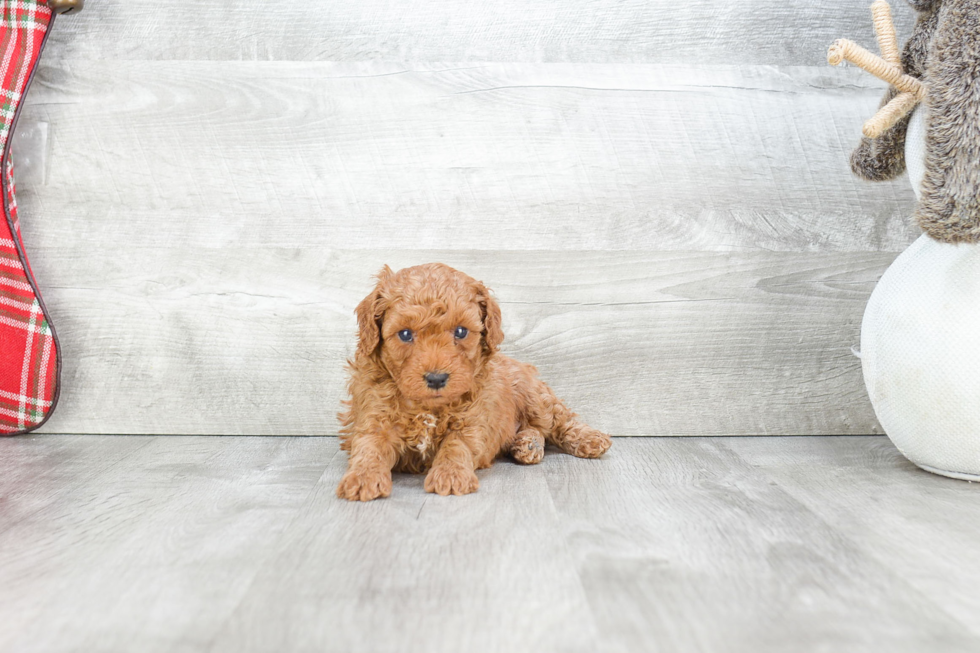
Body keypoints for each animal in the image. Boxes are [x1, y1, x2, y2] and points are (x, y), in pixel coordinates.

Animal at [338, 262, 612, 502]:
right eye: (405, 334)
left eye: (461, 331)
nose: (436, 378)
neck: (427, 407)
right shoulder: (375, 417)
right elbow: (369, 447)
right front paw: (362, 478)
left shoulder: (473, 419)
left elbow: (457, 445)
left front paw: (450, 475)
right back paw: (528, 444)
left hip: (534, 395)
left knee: (560, 420)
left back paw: (588, 439)